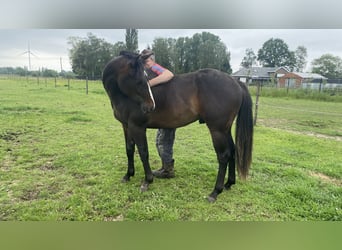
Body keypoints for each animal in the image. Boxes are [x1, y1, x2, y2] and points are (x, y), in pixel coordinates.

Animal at [101, 50, 254, 201]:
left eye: (146, 79)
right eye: (139, 80)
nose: (151, 106)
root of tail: (235, 82)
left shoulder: (137, 127)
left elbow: (143, 152)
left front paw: (147, 181)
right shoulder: (126, 126)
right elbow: (129, 150)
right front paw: (128, 175)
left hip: (217, 130)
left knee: (223, 156)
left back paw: (215, 192)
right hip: (225, 129)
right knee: (233, 151)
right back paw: (229, 183)